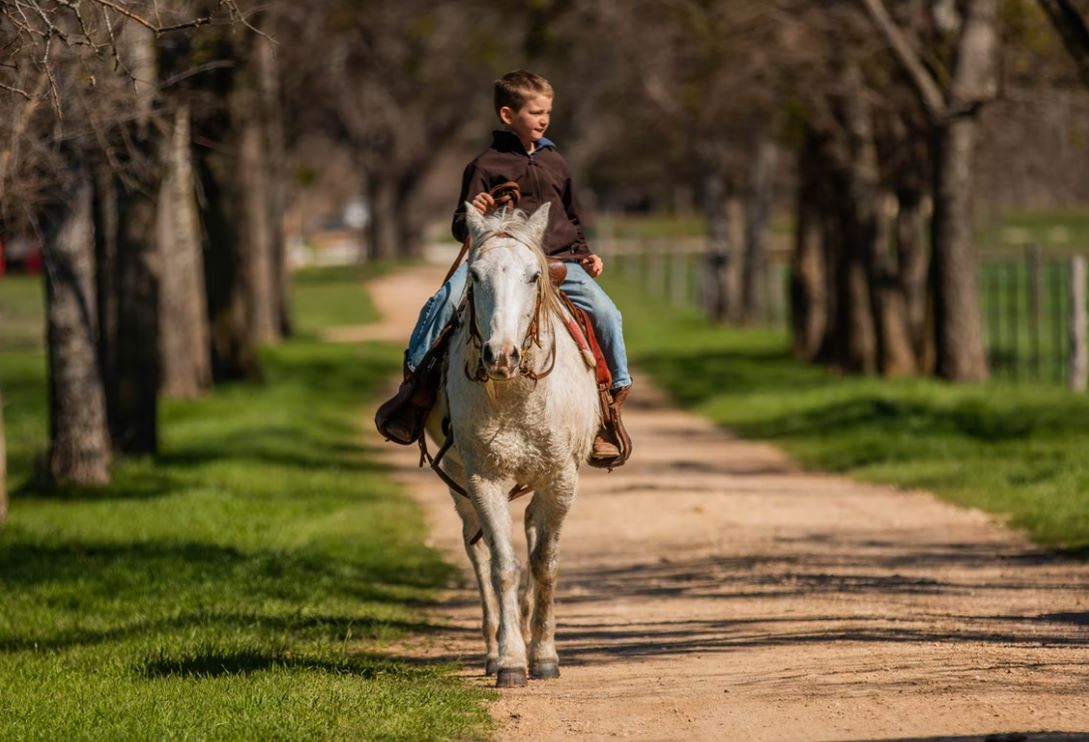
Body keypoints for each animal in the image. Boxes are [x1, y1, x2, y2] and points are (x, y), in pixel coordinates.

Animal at [425, 202, 599, 688]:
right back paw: (494, 645)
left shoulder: (561, 480)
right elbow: (503, 566)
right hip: (460, 484)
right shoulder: (485, 479)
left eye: (533, 276)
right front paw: (510, 660)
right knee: (478, 552)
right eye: (474, 275)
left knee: (531, 529)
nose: (500, 356)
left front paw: (544, 655)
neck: (514, 393)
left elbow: (544, 563)